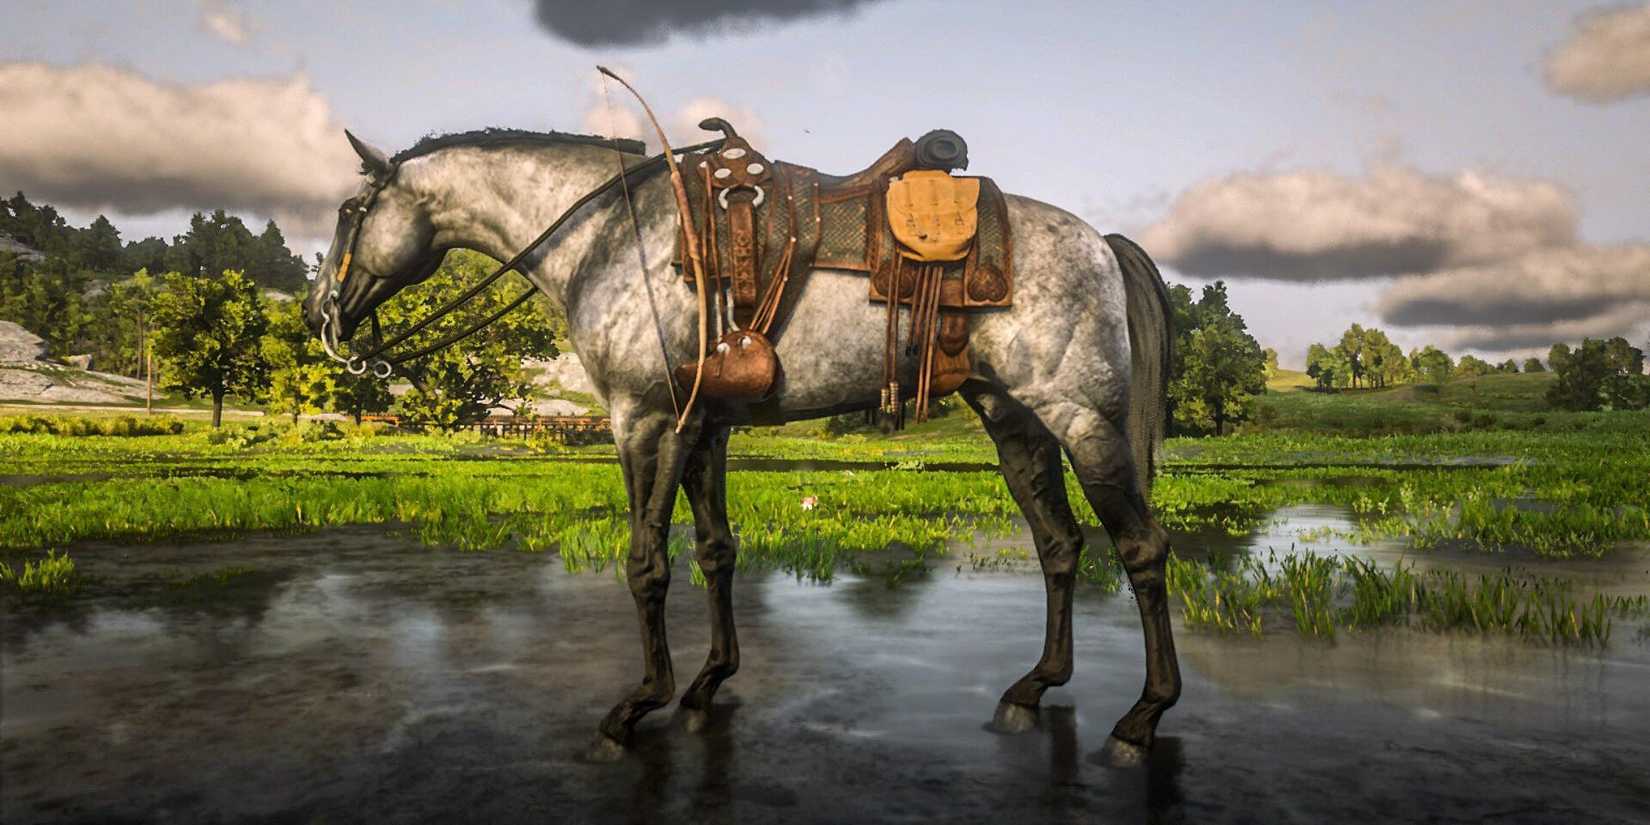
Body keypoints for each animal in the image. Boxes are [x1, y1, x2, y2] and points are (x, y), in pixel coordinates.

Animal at [303, 127, 1180, 766]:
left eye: (348, 210)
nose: (319, 313)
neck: (613, 239)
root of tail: (1100, 242)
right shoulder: (706, 428)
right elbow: (716, 550)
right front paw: (707, 681)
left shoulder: (646, 419)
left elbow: (647, 563)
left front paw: (638, 703)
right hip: (1015, 422)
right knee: (1059, 545)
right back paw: (1033, 687)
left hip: (1084, 421)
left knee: (1141, 548)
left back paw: (1141, 718)